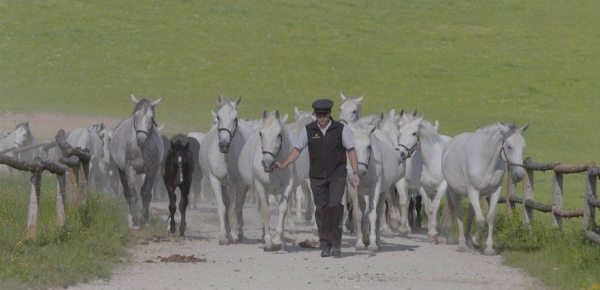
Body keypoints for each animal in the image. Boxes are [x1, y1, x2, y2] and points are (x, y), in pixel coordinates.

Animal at [109, 96, 164, 228]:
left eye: (151, 117)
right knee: (127, 193)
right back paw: (130, 218)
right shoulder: (130, 170)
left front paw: (145, 219)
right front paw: (134, 221)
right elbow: (133, 194)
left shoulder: (152, 171)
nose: (142, 139)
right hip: (122, 171)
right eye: (136, 116)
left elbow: (146, 193)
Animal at [199, 95, 251, 245]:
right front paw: (223, 236)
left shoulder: (240, 183)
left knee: (239, 204)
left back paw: (238, 232)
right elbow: (222, 207)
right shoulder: (215, 181)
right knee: (227, 203)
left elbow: (236, 207)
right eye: (218, 116)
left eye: (235, 118)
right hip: (225, 184)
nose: (224, 144)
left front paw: (234, 235)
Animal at [344, 122, 400, 251]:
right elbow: (358, 214)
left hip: (383, 192)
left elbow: (373, 215)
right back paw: (365, 238)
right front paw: (360, 242)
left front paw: (373, 244)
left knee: (379, 214)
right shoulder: (352, 188)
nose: (360, 172)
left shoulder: (375, 188)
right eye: (352, 148)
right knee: (364, 210)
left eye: (369, 147)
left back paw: (377, 242)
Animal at [438, 123, 528, 255]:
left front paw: (489, 248)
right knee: (459, 213)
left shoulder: (495, 191)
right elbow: (480, 220)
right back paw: (462, 244)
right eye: (509, 146)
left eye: (523, 147)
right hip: (454, 192)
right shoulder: (473, 191)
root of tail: (449, 144)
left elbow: (490, 218)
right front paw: (477, 241)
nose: (519, 175)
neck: (485, 160)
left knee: (470, 213)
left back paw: (468, 240)